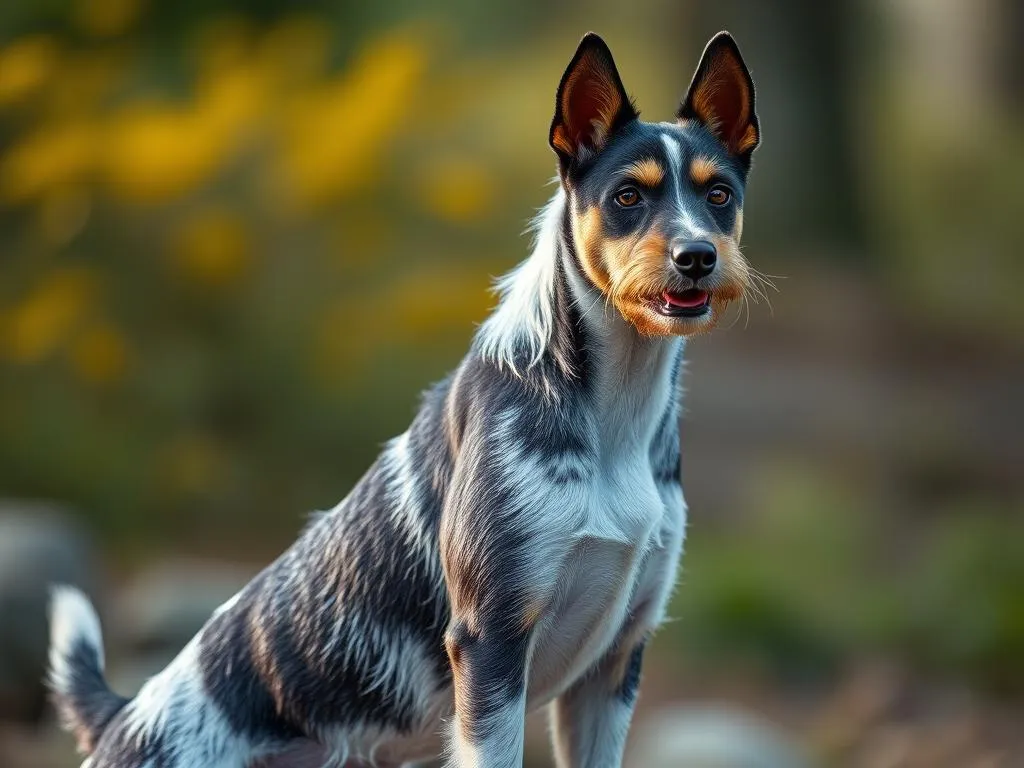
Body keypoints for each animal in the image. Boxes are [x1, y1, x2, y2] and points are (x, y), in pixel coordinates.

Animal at [48, 30, 761, 768]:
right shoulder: (491, 642)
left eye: (719, 194)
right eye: (626, 196)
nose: (696, 256)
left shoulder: (614, 664)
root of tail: (124, 717)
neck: (612, 411)